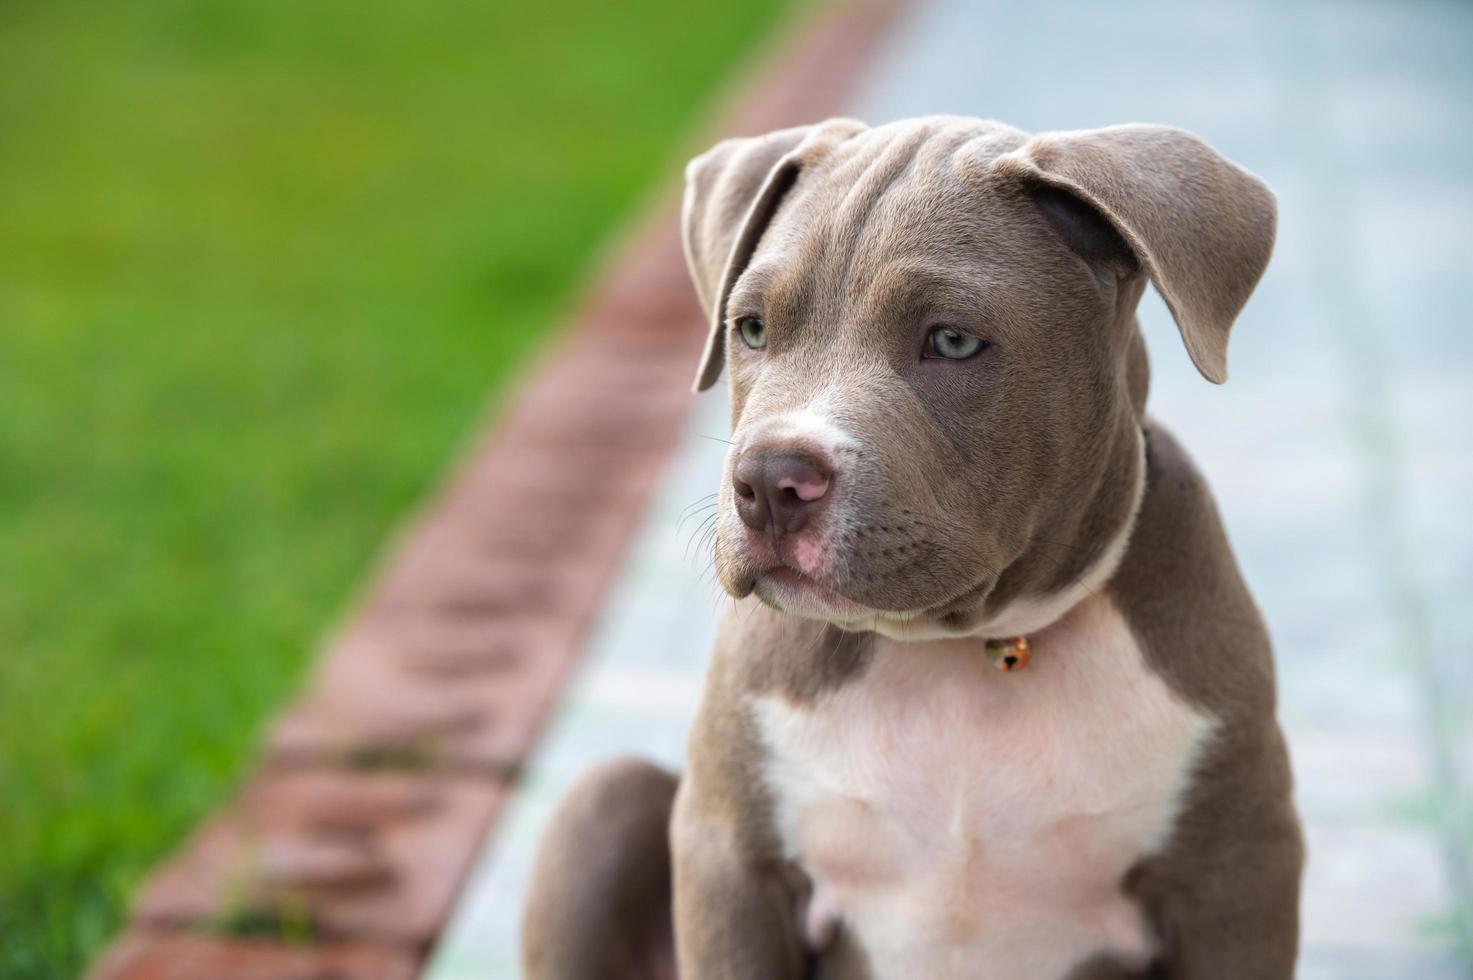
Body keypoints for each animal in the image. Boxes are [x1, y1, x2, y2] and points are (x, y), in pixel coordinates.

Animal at [524, 116, 1308, 978]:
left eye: (953, 341)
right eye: (751, 328)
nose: (767, 480)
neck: (965, 648)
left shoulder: (1236, 879)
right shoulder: (730, 862)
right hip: (604, 798)